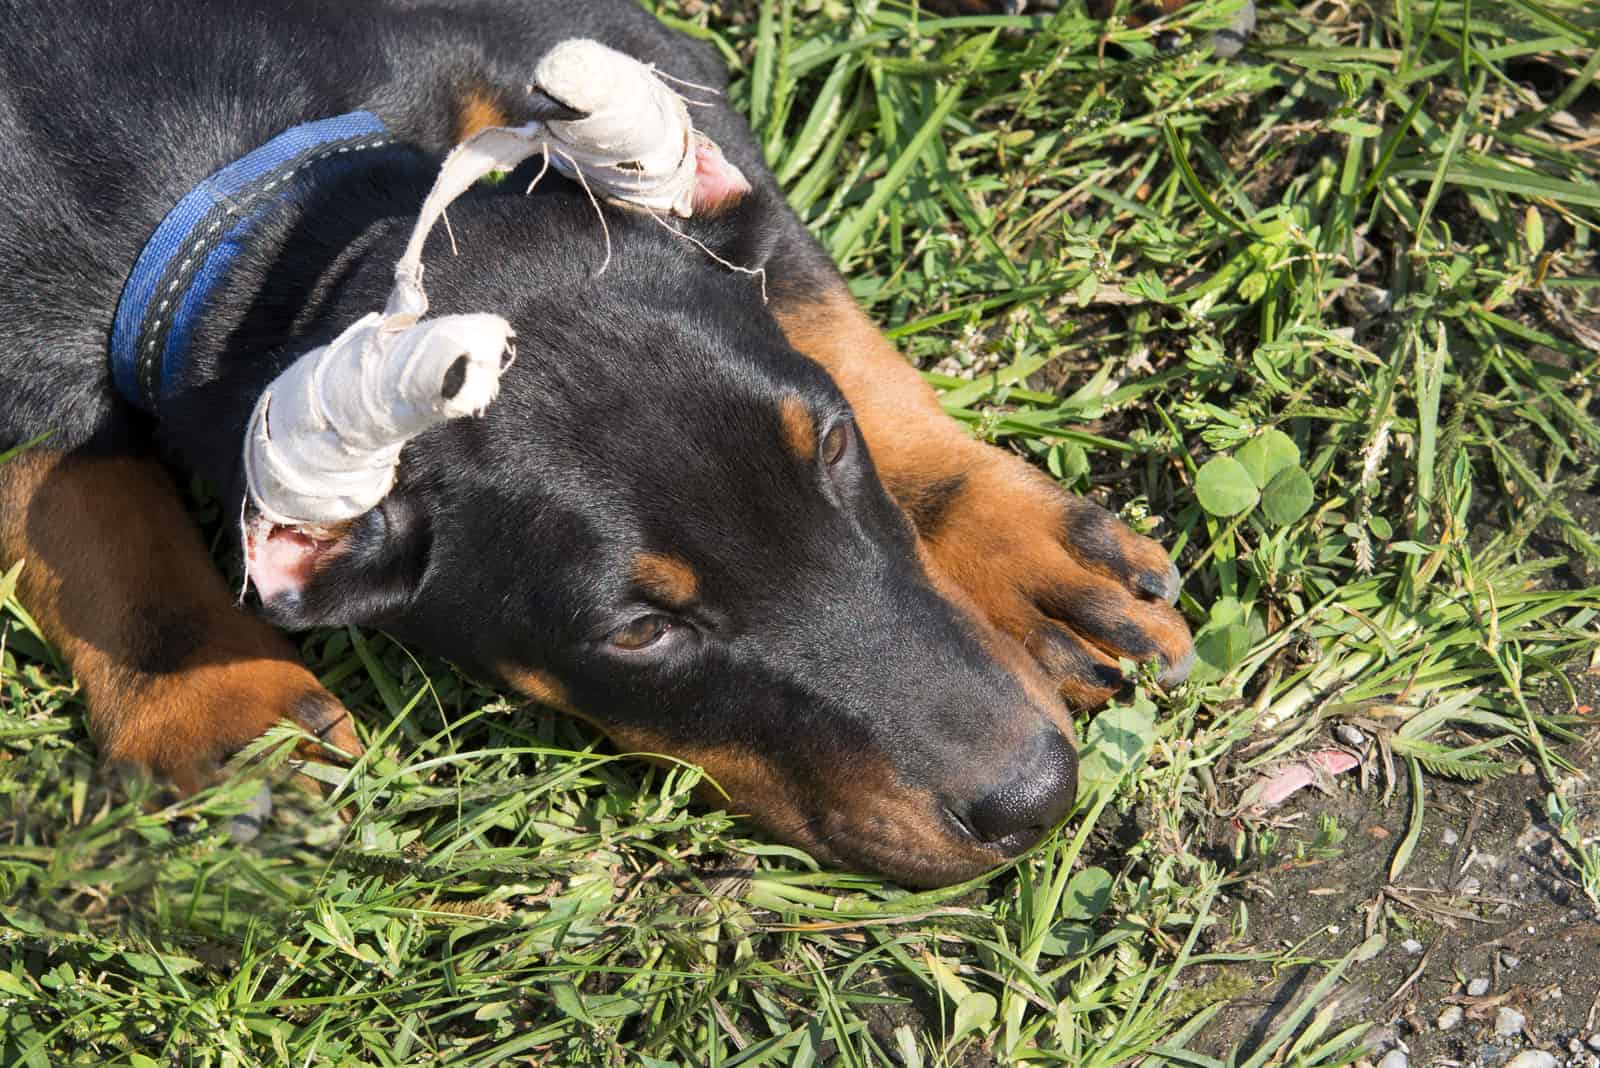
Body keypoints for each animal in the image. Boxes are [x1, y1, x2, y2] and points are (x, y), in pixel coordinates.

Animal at [0, 0, 1190, 882]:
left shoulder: (600, 51)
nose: (1035, 799)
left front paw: (1026, 556)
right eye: (639, 634)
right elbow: (71, 503)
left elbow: (813, 303)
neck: (259, 222)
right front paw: (219, 712)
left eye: (833, 449)